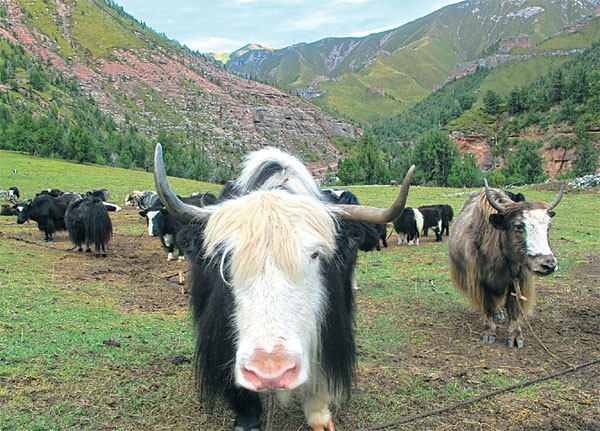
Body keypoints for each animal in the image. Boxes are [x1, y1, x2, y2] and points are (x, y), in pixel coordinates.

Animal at [448, 181, 564, 350]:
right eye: (518, 226)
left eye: (548, 226)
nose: (548, 264)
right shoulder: (481, 280)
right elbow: (488, 305)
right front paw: (489, 333)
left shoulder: (517, 281)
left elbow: (513, 308)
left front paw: (516, 337)